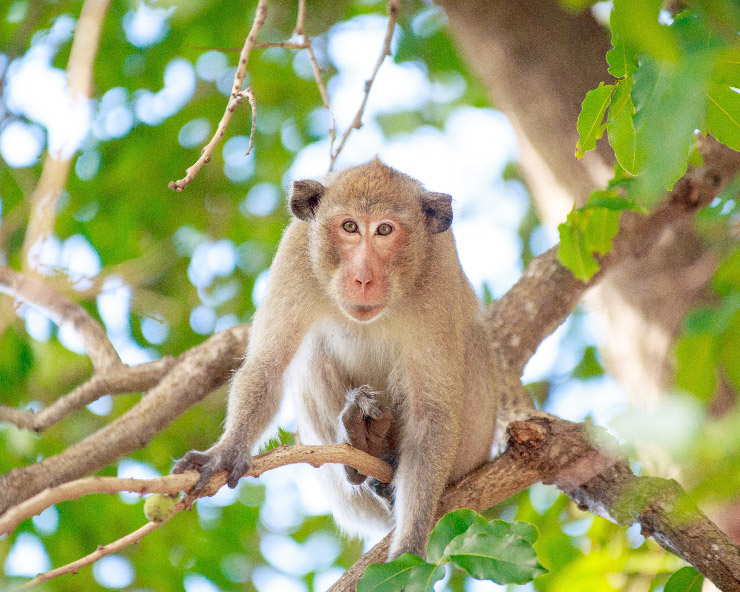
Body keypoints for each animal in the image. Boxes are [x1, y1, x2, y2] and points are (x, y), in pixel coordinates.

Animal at [173, 160, 532, 560]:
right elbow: (267, 365)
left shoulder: (439, 273)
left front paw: (408, 548)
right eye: (349, 227)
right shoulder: (296, 252)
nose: (362, 277)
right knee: (312, 353)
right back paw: (363, 445)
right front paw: (226, 451)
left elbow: (432, 413)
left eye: (384, 230)